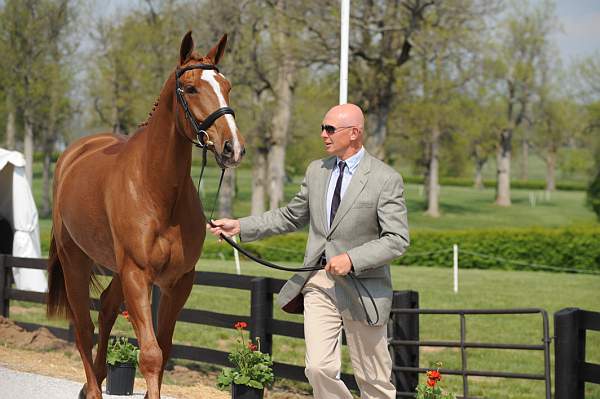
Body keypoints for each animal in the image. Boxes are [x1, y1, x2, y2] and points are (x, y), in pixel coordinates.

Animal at [47, 32, 244, 399]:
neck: (156, 189)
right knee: (83, 327)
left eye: (227, 86)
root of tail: (72, 155)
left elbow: (164, 349)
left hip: (117, 269)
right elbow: (150, 354)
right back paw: (92, 389)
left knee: (107, 308)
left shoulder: (178, 281)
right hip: (75, 261)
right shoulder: (138, 275)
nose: (233, 148)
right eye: (191, 88)